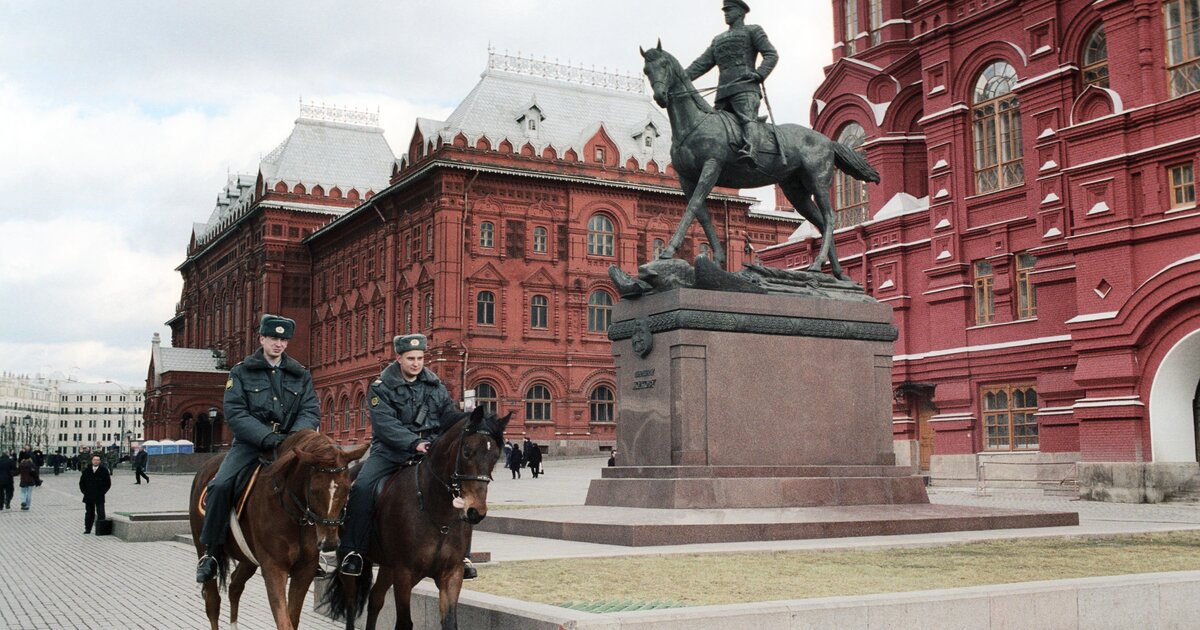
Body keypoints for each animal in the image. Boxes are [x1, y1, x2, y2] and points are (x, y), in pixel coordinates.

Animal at [184, 429, 364, 624]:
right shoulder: (274, 568)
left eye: (348, 489)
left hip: (248, 559)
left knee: (234, 586)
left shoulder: (305, 570)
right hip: (202, 547)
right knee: (213, 603)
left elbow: (292, 618)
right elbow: (284, 621)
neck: (295, 517)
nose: (329, 543)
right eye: (314, 490)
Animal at [319, 403, 511, 628]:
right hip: (349, 562)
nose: (475, 511)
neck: (439, 514)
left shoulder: (451, 575)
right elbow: (404, 622)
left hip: (387, 565)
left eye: (496, 456)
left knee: (375, 599)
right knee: (351, 602)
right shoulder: (404, 574)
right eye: (466, 451)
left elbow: (449, 622)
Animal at [643, 41, 878, 277]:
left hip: (818, 182)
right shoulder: (686, 178)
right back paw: (837, 272)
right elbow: (703, 215)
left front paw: (668, 250)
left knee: (830, 219)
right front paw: (717, 258)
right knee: (820, 222)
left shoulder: (711, 166)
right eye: (646, 70)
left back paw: (819, 264)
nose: (661, 96)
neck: (696, 123)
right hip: (795, 191)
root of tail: (829, 141)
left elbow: (692, 206)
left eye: (664, 65)